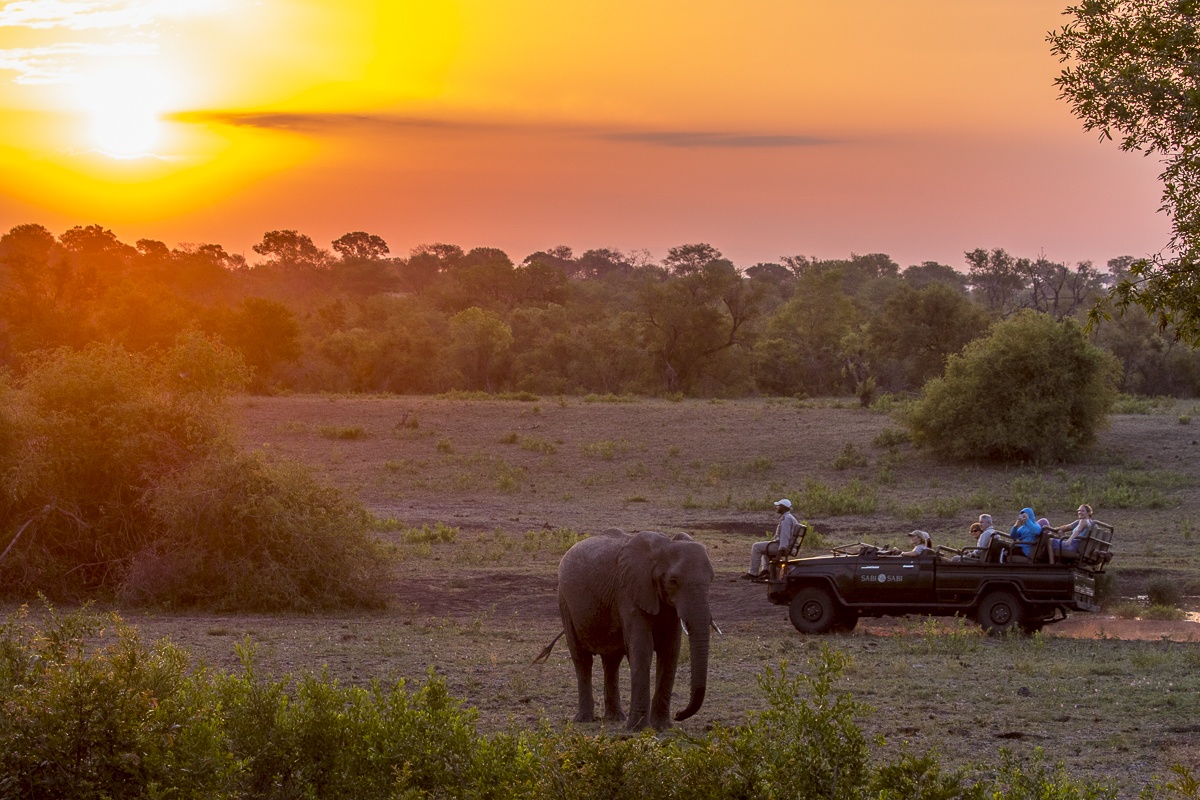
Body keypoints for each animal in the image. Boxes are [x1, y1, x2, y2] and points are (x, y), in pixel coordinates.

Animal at [540, 527, 715, 729]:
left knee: (611, 661)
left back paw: (615, 718)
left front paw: (662, 726)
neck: (661, 548)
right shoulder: (629, 591)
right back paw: (584, 719)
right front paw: (637, 728)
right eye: (673, 581)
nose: (679, 714)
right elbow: (642, 649)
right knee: (582, 659)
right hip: (565, 603)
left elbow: (670, 651)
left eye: (712, 579)